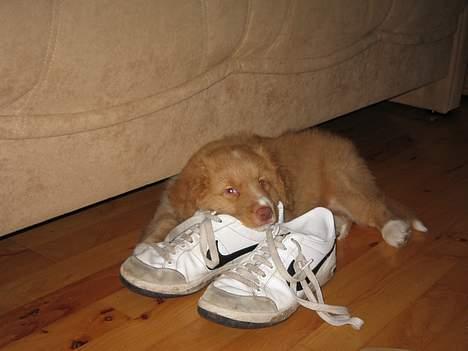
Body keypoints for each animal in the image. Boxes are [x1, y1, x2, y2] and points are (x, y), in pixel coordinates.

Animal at [141, 129, 426, 248]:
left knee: (374, 209)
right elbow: (162, 223)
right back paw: (337, 227)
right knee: (344, 217)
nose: (267, 212)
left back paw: (395, 231)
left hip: (345, 186)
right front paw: (149, 246)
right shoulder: (170, 204)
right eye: (230, 191)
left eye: (263, 182)